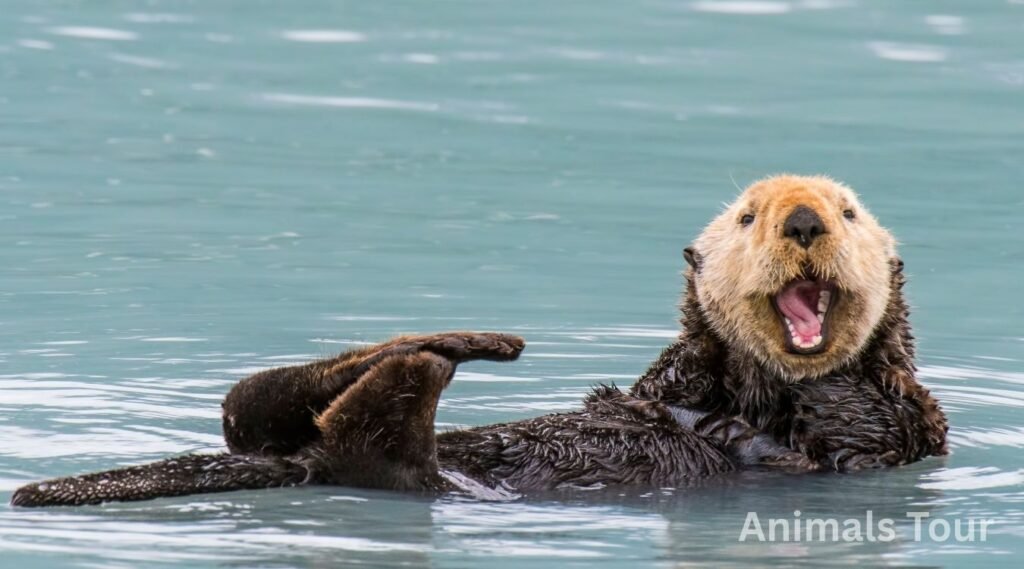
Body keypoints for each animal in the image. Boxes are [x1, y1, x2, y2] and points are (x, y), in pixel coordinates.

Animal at [11, 174, 947, 507]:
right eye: (749, 216)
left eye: (848, 211)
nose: (802, 220)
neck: (755, 387)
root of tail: (298, 463)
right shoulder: (670, 380)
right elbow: (654, 390)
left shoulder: (900, 427)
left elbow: (850, 422)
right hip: (288, 431)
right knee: (253, 405)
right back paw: (454, 342)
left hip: (409, 473)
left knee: (359, 442)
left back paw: (429, 361)